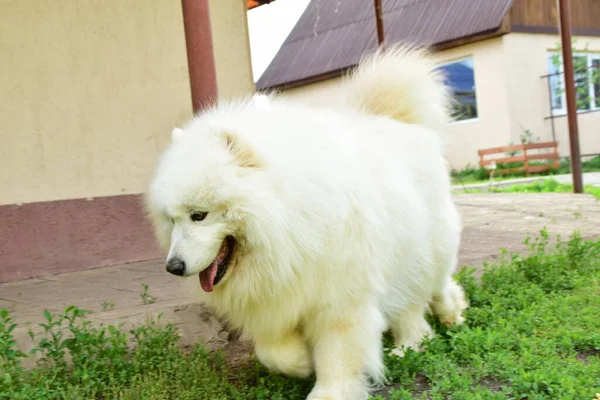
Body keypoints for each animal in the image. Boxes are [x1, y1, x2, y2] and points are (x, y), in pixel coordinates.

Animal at [146, 47, 468, 400]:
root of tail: (396, 118)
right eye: (171, 219)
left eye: (199, 215)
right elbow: (272, 350)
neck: (287, 221)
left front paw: (330, 390)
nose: (173, 266)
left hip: (425, 249)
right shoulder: (276, 298)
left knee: (433, 287)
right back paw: (415, 341)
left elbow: (338, 351)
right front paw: (300, 361)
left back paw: (443, 318)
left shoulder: (339, 296)